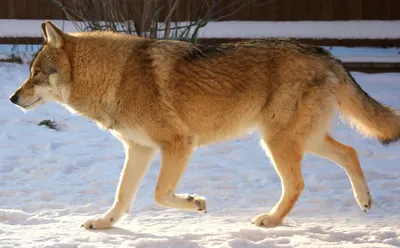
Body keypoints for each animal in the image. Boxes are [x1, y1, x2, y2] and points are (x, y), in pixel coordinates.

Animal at [9, 21, 400, 231]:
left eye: (36, 75)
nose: (12, 98)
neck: (115, 77)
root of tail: (325, 53)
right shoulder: (139, 149)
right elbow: (122, 195)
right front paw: (105, 223)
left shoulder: (178, 144)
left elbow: (159, 194)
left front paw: (195, 203)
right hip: (301, 140)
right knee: (350, 152)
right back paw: (364, 201)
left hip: (277, 142)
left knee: (299, 183)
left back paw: (272, 221)